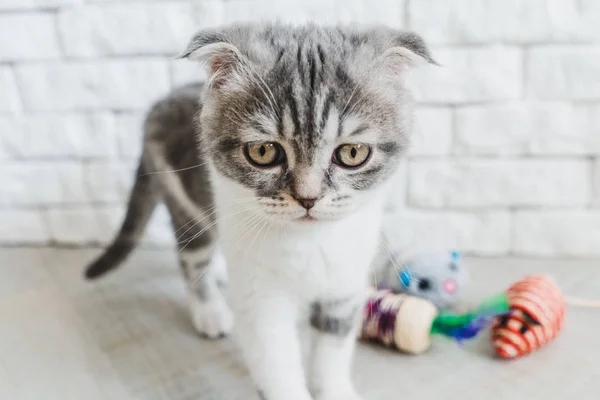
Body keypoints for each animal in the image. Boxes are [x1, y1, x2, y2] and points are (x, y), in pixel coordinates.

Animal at [85, 22, 432, 400]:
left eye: (352, 153)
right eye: (263, 151)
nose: (308, 198)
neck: (308, 243)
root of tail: (160, 103)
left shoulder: (345, 282)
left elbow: (332, 352)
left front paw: (335, 388)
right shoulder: (261, 300)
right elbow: (277, 364)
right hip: (186, 205)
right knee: (191, 257)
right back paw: (209, 311)